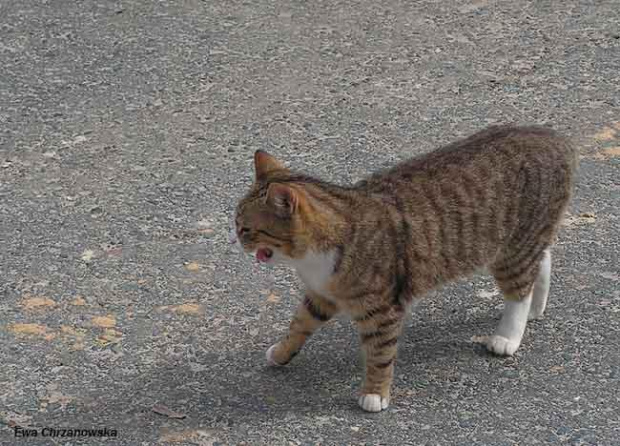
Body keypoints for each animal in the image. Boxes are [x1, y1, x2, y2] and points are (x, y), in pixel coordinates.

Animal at [231, 123, 576, 412]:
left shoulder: (381, 309)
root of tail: (552, 136)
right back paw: (536, 308)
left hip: (512, 251)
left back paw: (508, 336)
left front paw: (375, 393)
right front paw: (281, 352)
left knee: (519, 289)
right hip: (521, 242)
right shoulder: (322, 294)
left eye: (246, 228)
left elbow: (380, 355)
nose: (235, 239)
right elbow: (299, 324)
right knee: (542, 260)